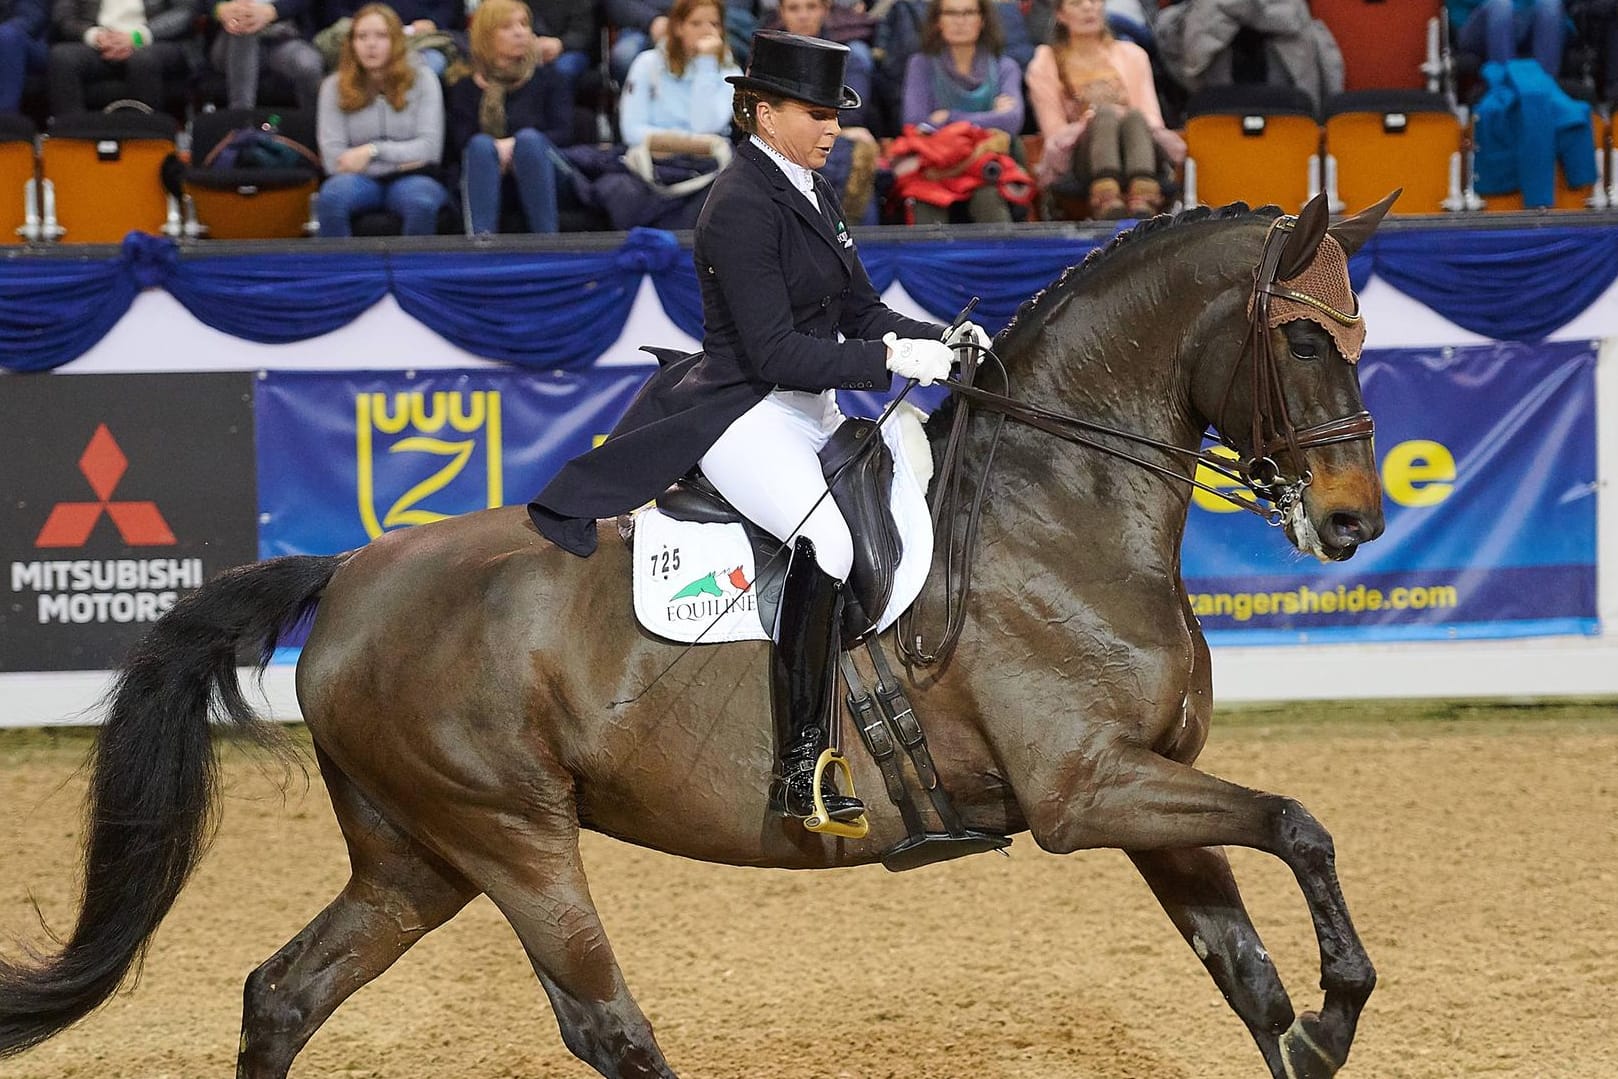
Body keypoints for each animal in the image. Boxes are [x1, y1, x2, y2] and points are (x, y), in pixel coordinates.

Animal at [0, 194, 1391, 1079]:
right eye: (1302, 336)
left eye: (1362, 338)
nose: (1350, 521)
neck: (1061, 509)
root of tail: (345, 572)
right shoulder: (1084, 789)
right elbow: (1301, 824)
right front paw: (1341, 1007)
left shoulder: (1143, 784)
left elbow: (1249, 969)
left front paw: (1308, 1023)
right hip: (509, 835)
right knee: (605, 1027)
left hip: (415, 857)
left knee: (283, 993)